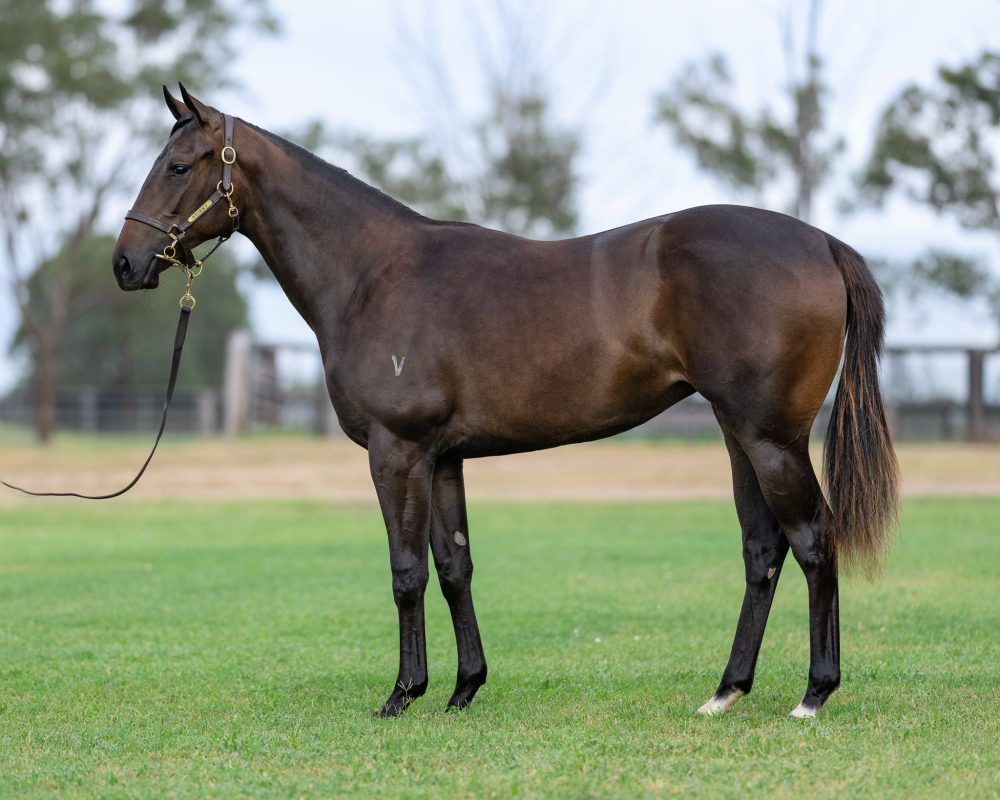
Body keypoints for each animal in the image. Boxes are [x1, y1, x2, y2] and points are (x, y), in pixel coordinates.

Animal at [111, 86, 900, 720]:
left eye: (178, 166)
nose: (125, 263)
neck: (372, 273)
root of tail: (822, 243)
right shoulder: (442, 458)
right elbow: (454, 568)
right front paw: (464, 689)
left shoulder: (397, 451)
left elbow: (406, 572)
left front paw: (402, 694)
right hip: (740, 434)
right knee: (762, 550)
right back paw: (726, 691)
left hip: (772, 438)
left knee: (813, 540)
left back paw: (813, 694)